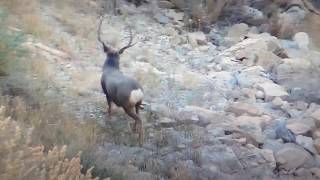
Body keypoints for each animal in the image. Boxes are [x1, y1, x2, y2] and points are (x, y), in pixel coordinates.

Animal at [97, 15, 143, 146]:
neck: (110, 69)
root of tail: (137, 91)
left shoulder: (106, 92)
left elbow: (109, 108)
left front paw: (109, 121)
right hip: (138, 104)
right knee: (138, 116)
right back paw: (134, 132)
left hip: (127, 106)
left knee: (140, 119)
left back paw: (140, 141)